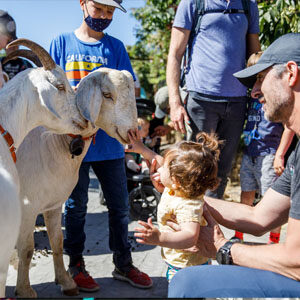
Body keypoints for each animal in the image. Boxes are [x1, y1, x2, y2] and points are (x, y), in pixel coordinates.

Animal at [12, 67, 137, 296]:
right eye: (107, 95)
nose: (133, 133)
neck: (52, 141)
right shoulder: (26, 206)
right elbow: (26, 249)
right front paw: (24, 290)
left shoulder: (53, 204)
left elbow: (58, 243)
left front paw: (66, 282)